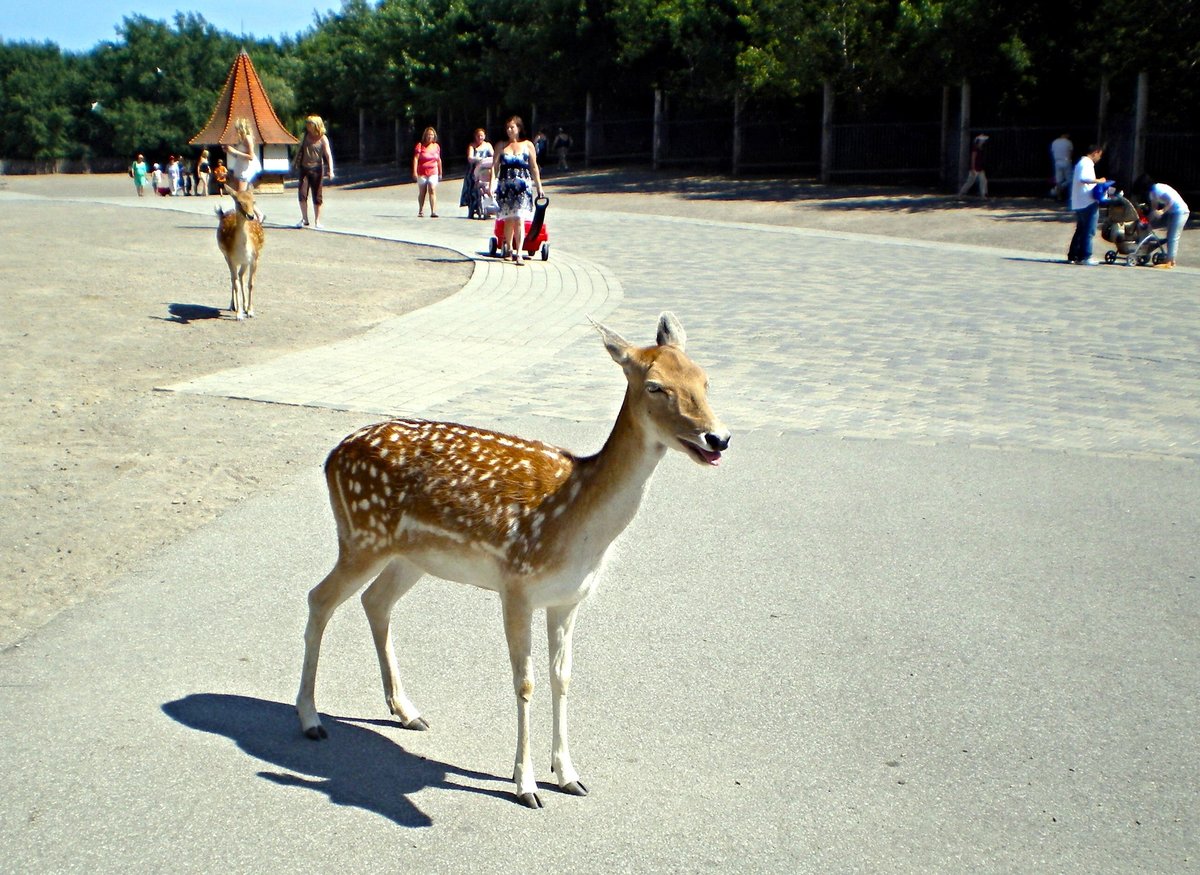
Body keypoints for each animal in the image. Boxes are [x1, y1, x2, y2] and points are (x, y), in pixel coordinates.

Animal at [215, 185, 264, 320]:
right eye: (239, 202)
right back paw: (234, 306)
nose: (251, 216)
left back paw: (245, 306)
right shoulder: (231, 258)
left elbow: (251, 283)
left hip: (245, 262)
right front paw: (239, 314)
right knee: (234, 278)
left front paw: (250, 311)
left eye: (254, 201)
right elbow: (235, 282)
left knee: (241, 276)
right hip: (226, 256)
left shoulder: (254, 258)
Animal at [296, 312, 731, 809]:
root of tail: (331, 457)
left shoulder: (568, 599)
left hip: (410, 556)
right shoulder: (516, 586)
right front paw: (525, 785)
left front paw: (568, 774)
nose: (718, 437)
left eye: (704, 378)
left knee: (375, 601)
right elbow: (526, 683)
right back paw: (310, 719)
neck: (578, 525)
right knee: (320, 598)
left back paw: (407, 711)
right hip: (360, 536)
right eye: (656, 386)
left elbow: (562, 678)